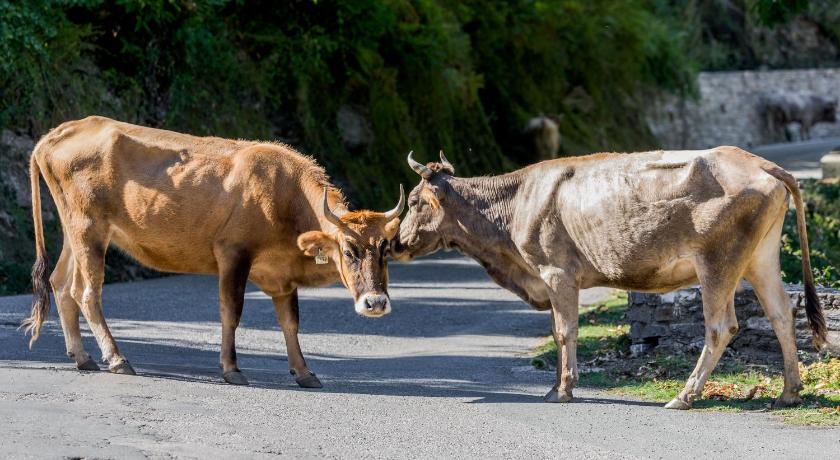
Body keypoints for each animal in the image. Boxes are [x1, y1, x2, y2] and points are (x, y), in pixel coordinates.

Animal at [23, 117, 404, 386]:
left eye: (385, 251)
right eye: (349, 251)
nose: (375, 303)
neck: (284, 196)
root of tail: (59, 132)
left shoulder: (281, 274)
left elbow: (291, 321)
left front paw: (304, 372)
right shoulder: (233, 252)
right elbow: (231, 312)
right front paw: (231, 369)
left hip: (73, 230)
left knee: (60, 283)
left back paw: (82, 357)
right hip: (89, 228)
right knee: (87, 292)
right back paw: (116, 359)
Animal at [394, 148, 828, 410]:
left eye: (413, 203)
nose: (395, 243)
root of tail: (757, 162)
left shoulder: (556, 273)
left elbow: (565, 331)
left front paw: (564, 390)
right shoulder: (549, 279)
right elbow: (557, 331)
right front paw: (555, 386)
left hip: (717, 262)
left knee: (721, 326)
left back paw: (684, 396)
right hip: (761, 258)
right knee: (782, 315)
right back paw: (789, 393)